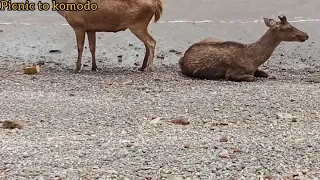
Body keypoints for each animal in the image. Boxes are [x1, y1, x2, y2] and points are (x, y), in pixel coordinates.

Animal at [179, 14, 308, 82]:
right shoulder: (232, 73)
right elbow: (252, 77)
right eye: (289, 28)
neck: (254, 59)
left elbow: (266, 73)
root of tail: (182, 57)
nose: (306, 35)